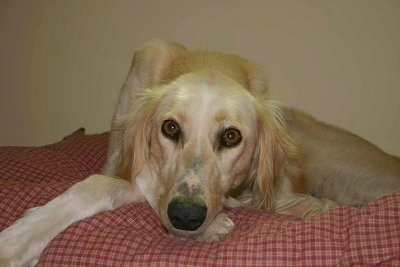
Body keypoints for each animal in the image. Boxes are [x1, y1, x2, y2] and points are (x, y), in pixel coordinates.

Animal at [0, 40, 400, 267]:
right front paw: (17, 241)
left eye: (231, 136)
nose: (187, 217)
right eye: (170, 128)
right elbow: (103, 183)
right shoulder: (130, 164)